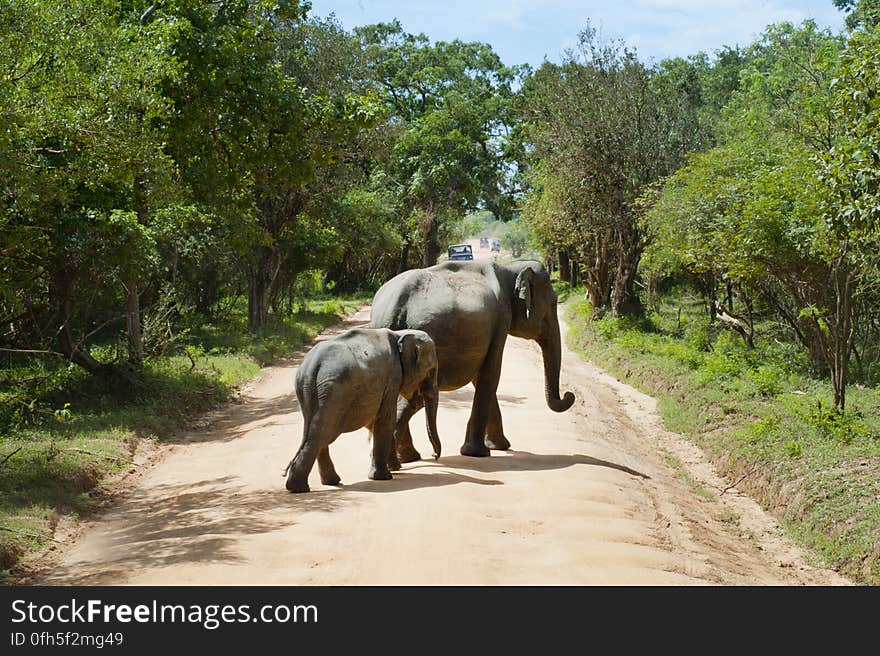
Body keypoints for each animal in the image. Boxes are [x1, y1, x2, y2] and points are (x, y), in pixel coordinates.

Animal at [284, 328, 440, 492]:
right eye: (432, 370)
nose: (434, 456)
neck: (399, 334)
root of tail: (313, 366)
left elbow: (376, 421)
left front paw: (391, 469)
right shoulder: (393, 377)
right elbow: (385, 419)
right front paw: (383, 477)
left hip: (308, 390)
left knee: (318, 432)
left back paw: (326, 482)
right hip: (335, 391)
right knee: (322, 432)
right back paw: (299, 488)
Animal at [368, 258, 576, 458]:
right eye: (553, 303)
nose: (569, 394)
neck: (509, 268)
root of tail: (391, 308)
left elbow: (481, 377)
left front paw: (498, 446)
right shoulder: (501, 318)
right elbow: (491, 374)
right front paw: (478, 452)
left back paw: (407, 457)